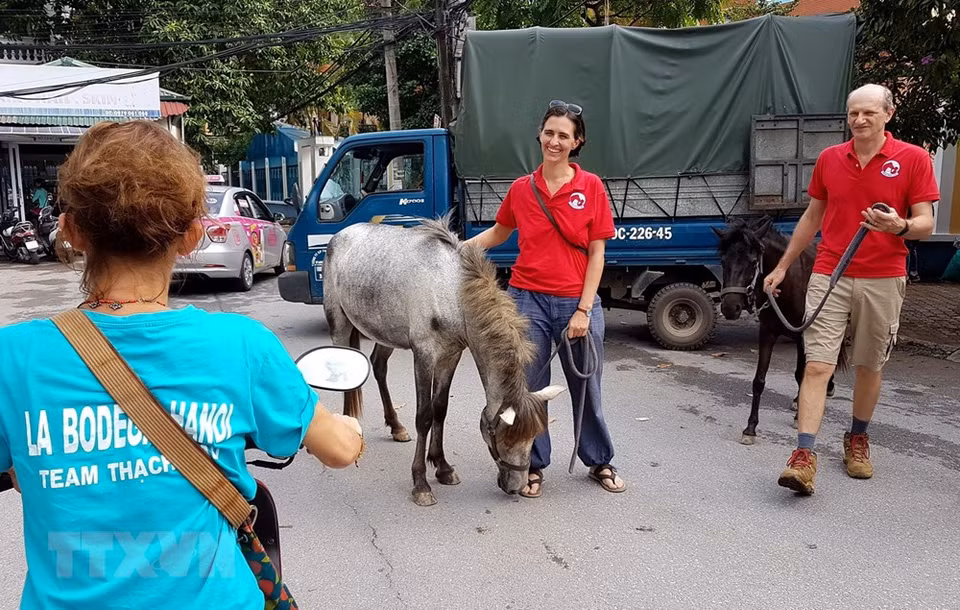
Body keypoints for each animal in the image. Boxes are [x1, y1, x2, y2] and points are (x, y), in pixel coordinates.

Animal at [322, 216, 566, 506]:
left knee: (379, 367)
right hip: (339, 324)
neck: (451, 291)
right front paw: (421, 483)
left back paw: (396, 426)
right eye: (506, 440)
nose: (516, 487)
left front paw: (442, 467)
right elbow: (424, 417)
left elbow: (440, 409)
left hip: (385, 333)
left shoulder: (451, 355)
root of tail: (338, 236)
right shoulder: (424, 356)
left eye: (532, 438)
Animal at [713, 216, 846, 445]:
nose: (730, 308)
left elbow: (801, 375)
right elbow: (759, 380)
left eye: (753, 262)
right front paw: (750, 428)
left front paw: (799, 415)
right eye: (723, 262)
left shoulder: (803, 336)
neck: (787, 284)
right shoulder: (767, 332)